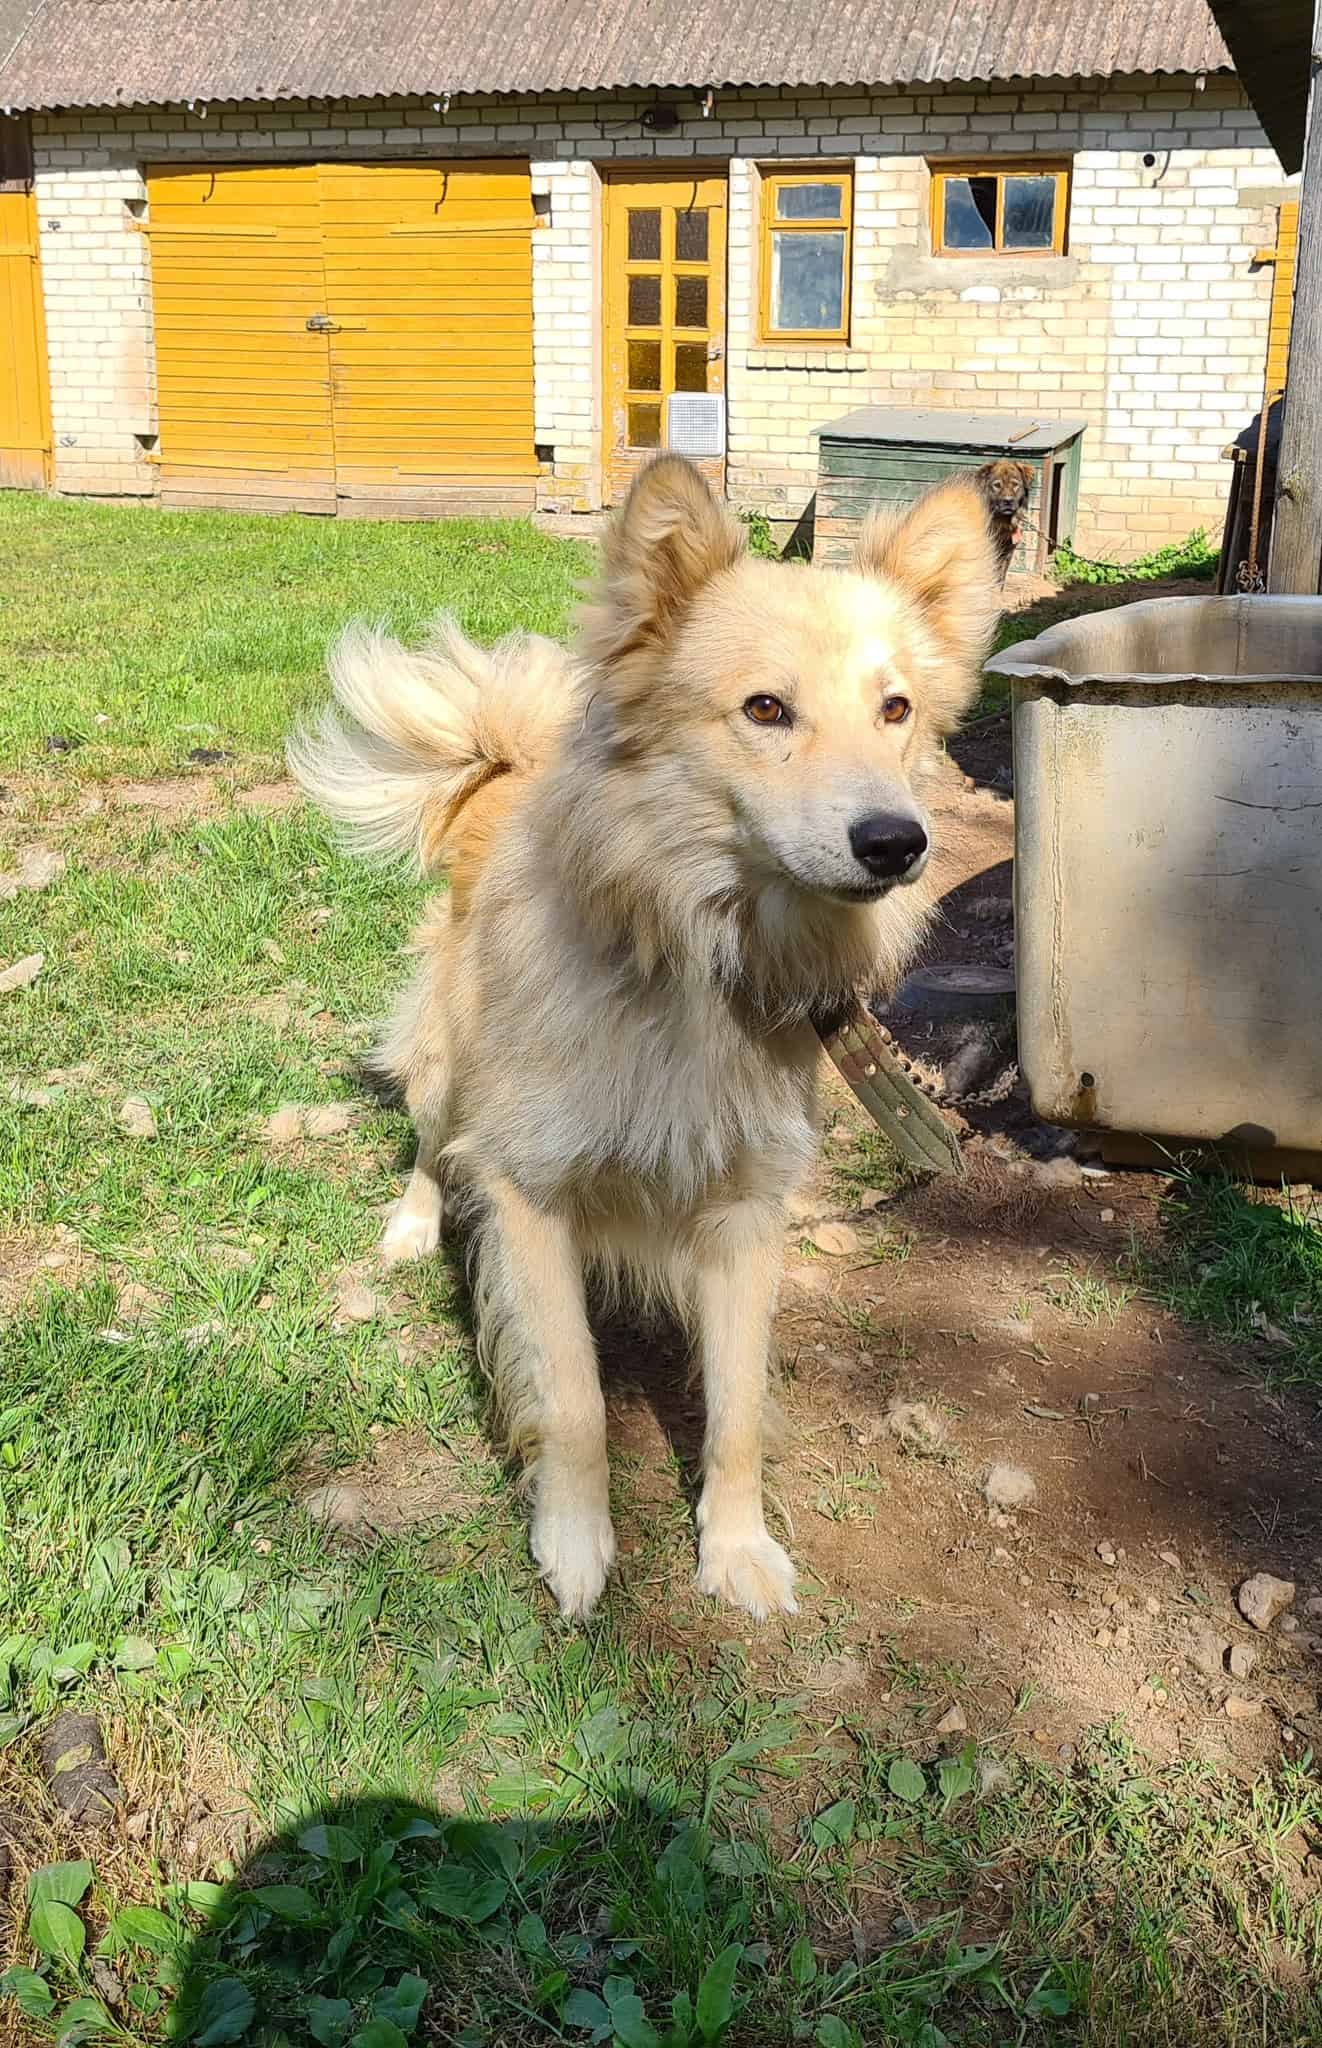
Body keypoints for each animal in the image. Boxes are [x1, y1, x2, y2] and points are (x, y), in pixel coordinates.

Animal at [289, 457, 999, 1622]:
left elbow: (738, 1409)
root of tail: (505, 766)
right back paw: (410, 1226)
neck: (695, 956)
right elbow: (573, 1397)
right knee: (432, 1142)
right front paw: (574, 1545)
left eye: (895, 709)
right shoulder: (528, 1192)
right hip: (449, 1065)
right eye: (765, 708)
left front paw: (736, 1548)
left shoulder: (748, 1212)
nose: (899, 842)